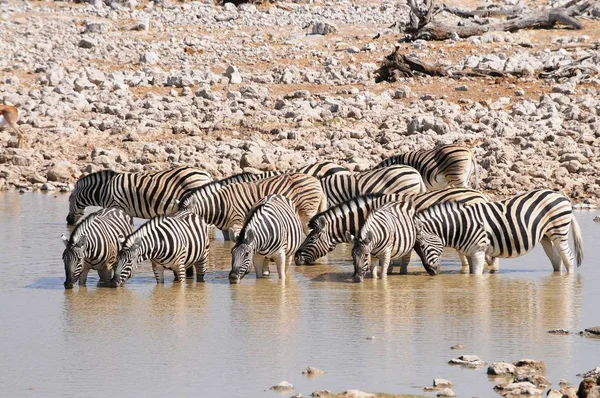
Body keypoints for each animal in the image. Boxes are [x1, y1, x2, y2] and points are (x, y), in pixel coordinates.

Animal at [67, 166, 212, 227]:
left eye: (69, 200)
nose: (68, 221)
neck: (105, 189)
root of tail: (206, 174)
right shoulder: (126, 210)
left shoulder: (116, 205)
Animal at [177, 172, 326, 239]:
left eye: (186, 218)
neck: (220, 203)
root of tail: (316, 180)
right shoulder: (226, 228)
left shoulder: (237, 222)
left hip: (307, 212)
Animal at [414, 187, 584, 274]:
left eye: (421, 246)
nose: (431, 272)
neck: (461, 225)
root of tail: (561, 196)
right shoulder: (469, 253)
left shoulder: (478, 251)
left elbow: (476, 278)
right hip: (545, 236)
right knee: (556, 259)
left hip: (559, 231)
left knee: (568, 258)